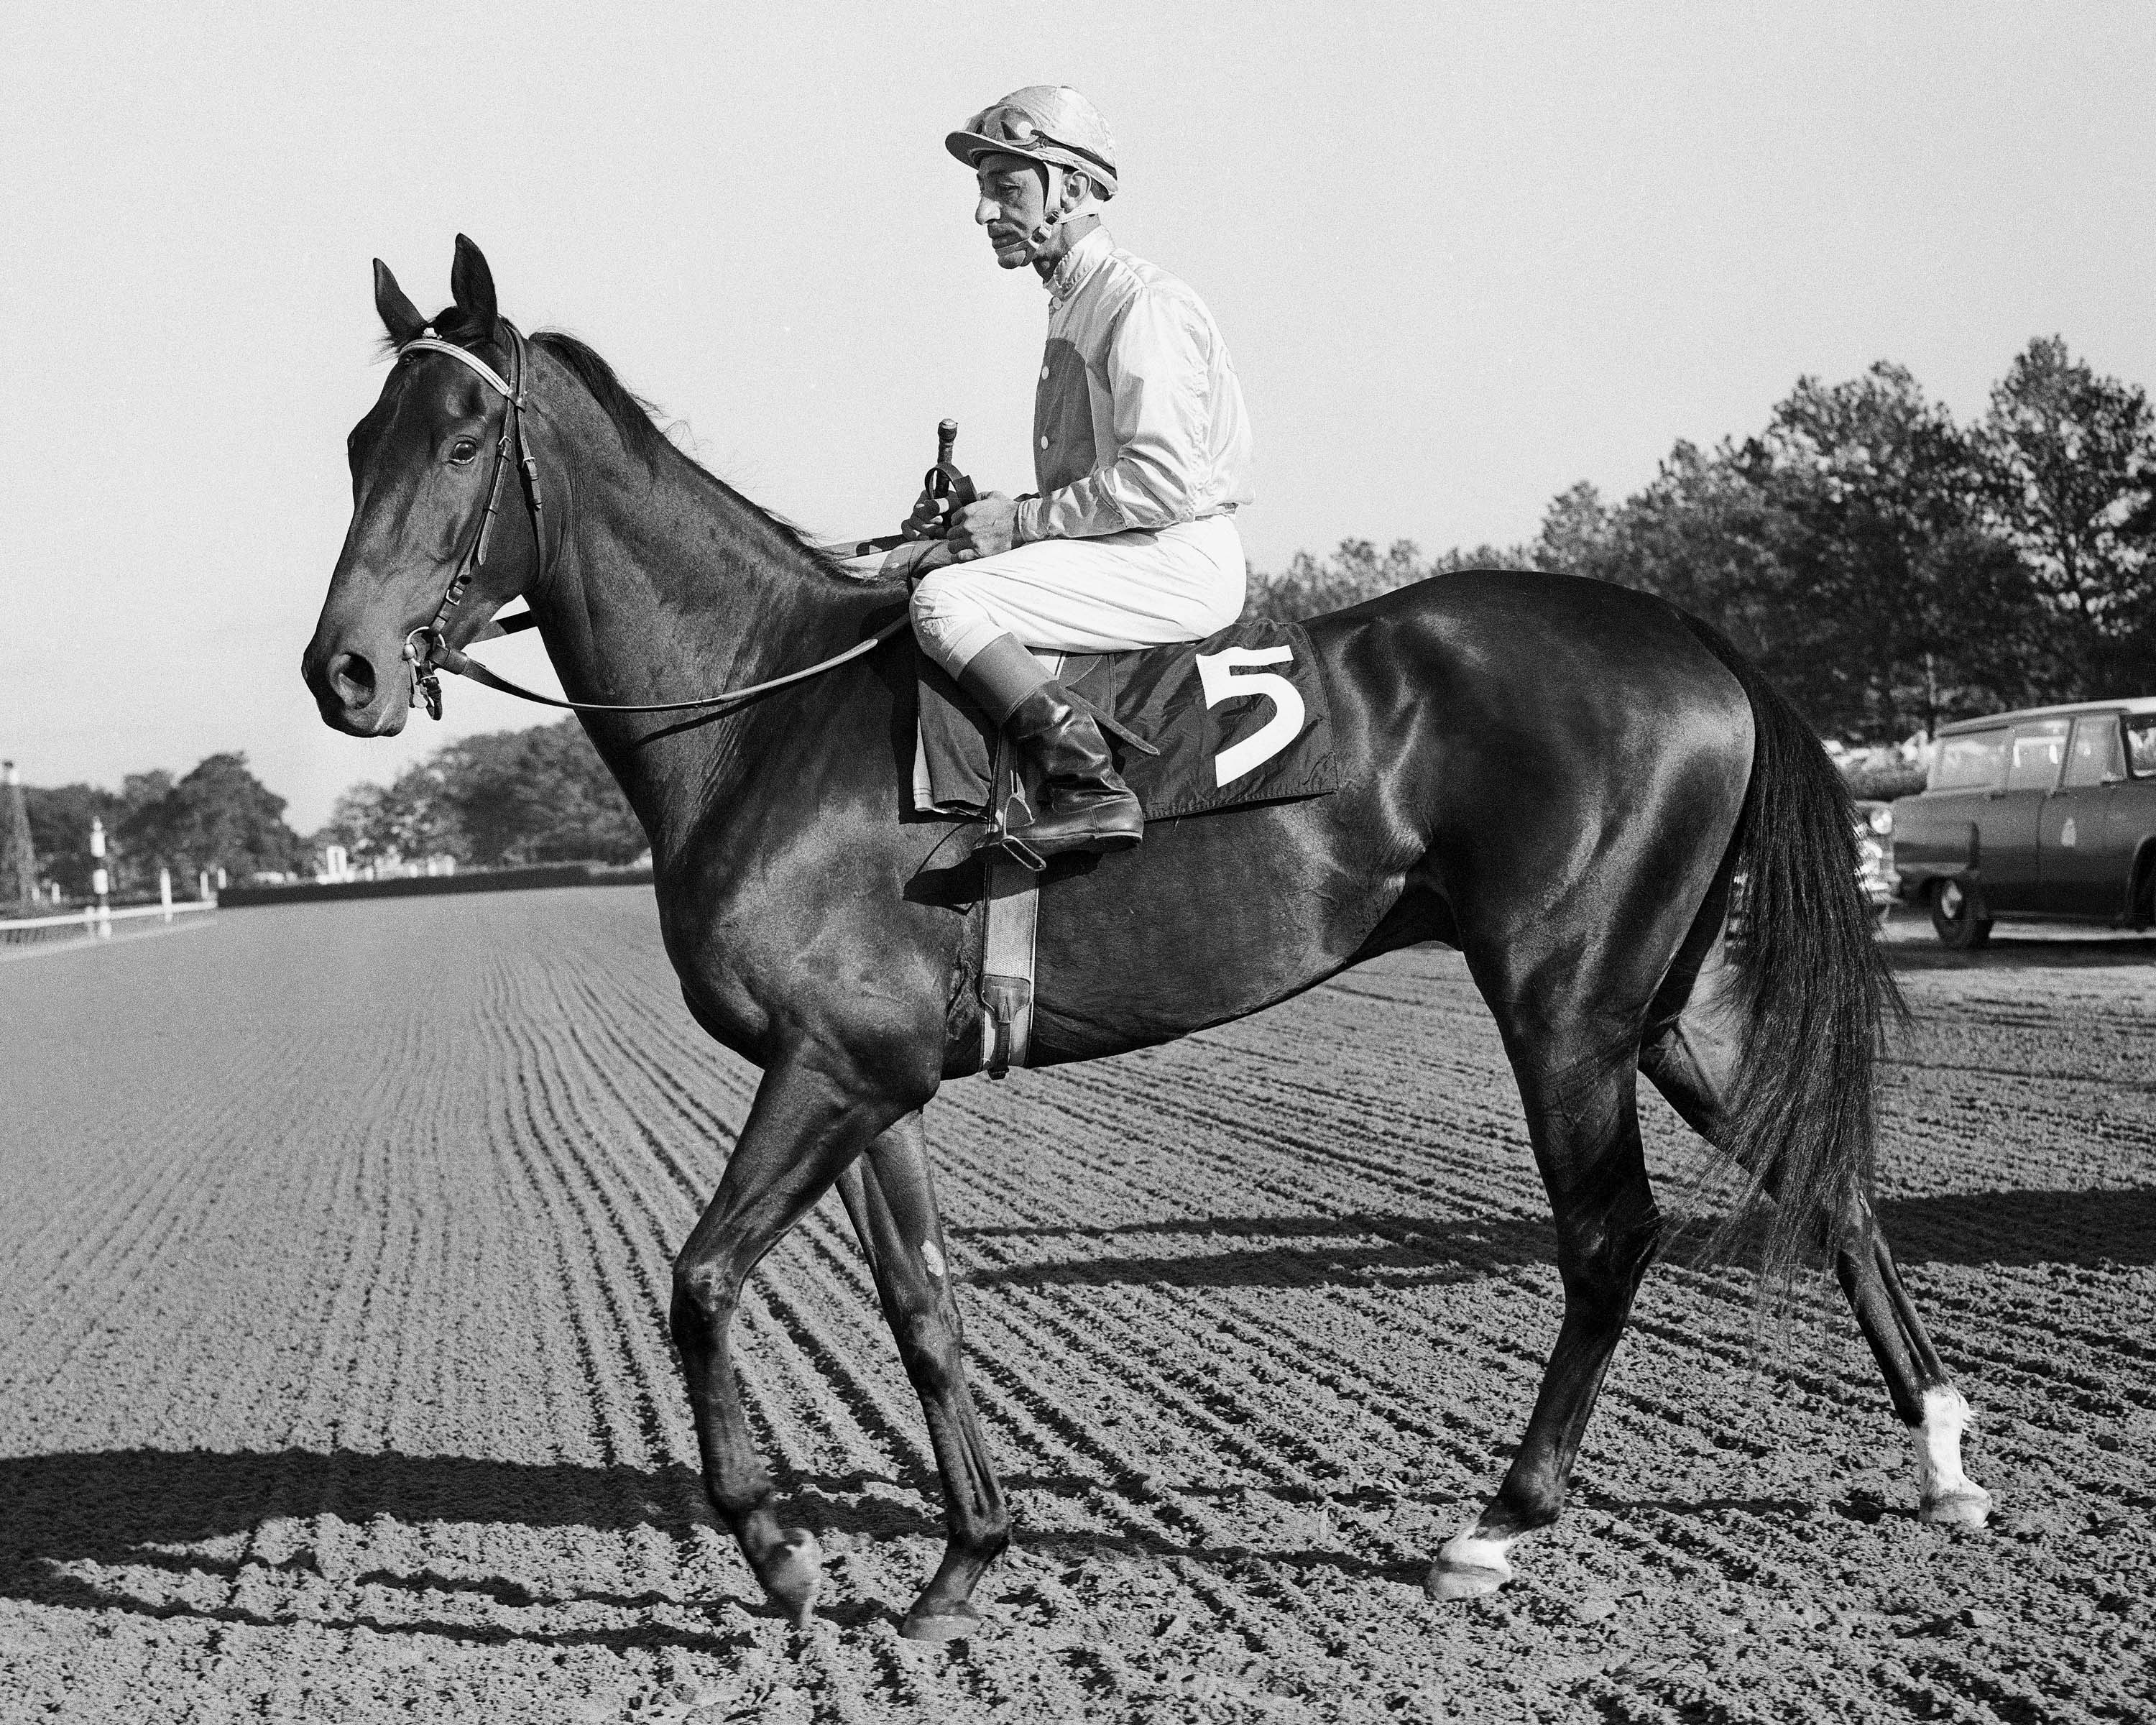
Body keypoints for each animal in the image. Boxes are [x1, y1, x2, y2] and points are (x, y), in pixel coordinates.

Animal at [300, 236, 1984, 1639]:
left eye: (462, 442)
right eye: (358, 443)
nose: (343, 671)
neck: (763, 713)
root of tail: (1691, 635)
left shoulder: (833, 1067)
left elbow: (701, 1281)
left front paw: (780, 1554)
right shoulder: (870, 1080)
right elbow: (922, 1305)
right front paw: (962, 1563)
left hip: (1565, 1004)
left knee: (1609, 1234)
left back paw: (1498, 1523)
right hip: (1666, 1003)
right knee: (1824, 1174)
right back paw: (1946, 1455)